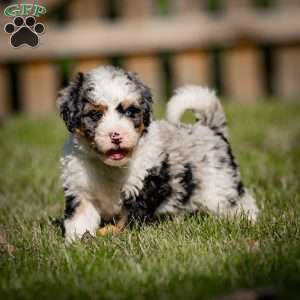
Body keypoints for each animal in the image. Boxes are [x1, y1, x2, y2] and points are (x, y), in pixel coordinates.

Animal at [57, 65, 258, 241]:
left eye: (130, 111)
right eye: (95, 115)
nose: (116, 135)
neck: (110, 167)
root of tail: (210, 128)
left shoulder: (144, 185)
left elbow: (129, 219)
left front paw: (116, 234)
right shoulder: (80, 191)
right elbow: (79, 219)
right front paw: (77, 241)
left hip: (220, 184)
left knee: (239, 202)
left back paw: (247, 221)